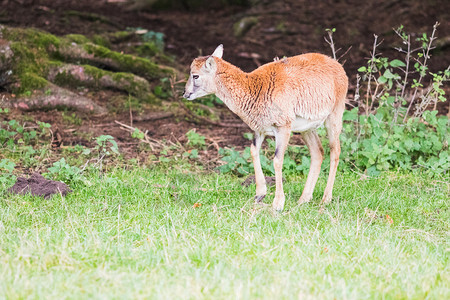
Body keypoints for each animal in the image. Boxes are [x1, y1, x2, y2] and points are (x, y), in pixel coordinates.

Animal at [183, 45, 348, 211]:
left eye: (195, 76)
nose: (185, 93)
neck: (255, 88)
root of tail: (338, 66)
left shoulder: (283, 127)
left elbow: (277, 160)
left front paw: (278, 203)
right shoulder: (259, 130)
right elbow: (253, 152)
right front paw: (260, 194)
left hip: (334, 117)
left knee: (335, 152)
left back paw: (325, 199)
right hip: (306, 129)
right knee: (318, 152)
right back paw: (303, 199)